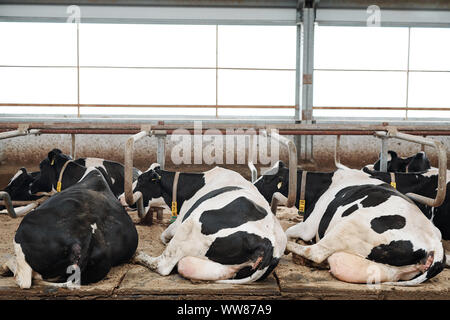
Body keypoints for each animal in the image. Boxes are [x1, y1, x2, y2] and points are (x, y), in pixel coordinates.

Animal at [132, 164, 284, 284]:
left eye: (140, 180)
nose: (126, 200)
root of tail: (267, 245)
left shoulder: (179, 222)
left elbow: (164, 235)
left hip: (191, 226)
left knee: (163, 265)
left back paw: (138, 255)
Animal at [255, 161, 444, 286]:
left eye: (265, 179)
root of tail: (435, 245)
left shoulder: (309, 225)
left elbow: (288, 232)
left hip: (348, 226)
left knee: (316, 252)